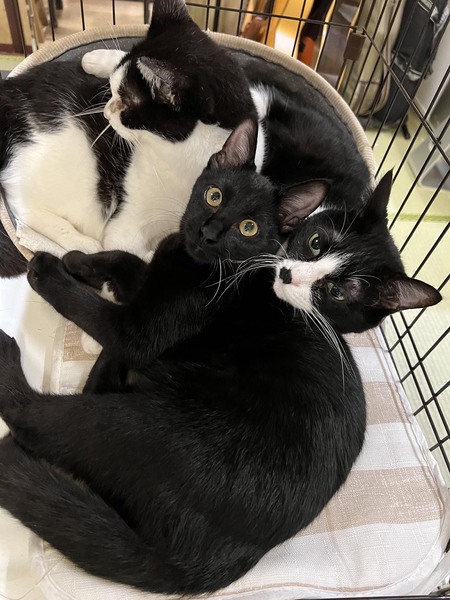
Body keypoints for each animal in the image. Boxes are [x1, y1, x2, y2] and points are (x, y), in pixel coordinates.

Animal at [0, 210, 366, 594]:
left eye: (245, 225)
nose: (206, 232)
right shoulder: (154, 284)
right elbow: (129, 263)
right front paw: (79, 261)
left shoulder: (139, 330)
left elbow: (95, 309)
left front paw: (51, 269)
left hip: (126, 422)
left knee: (29, 416)